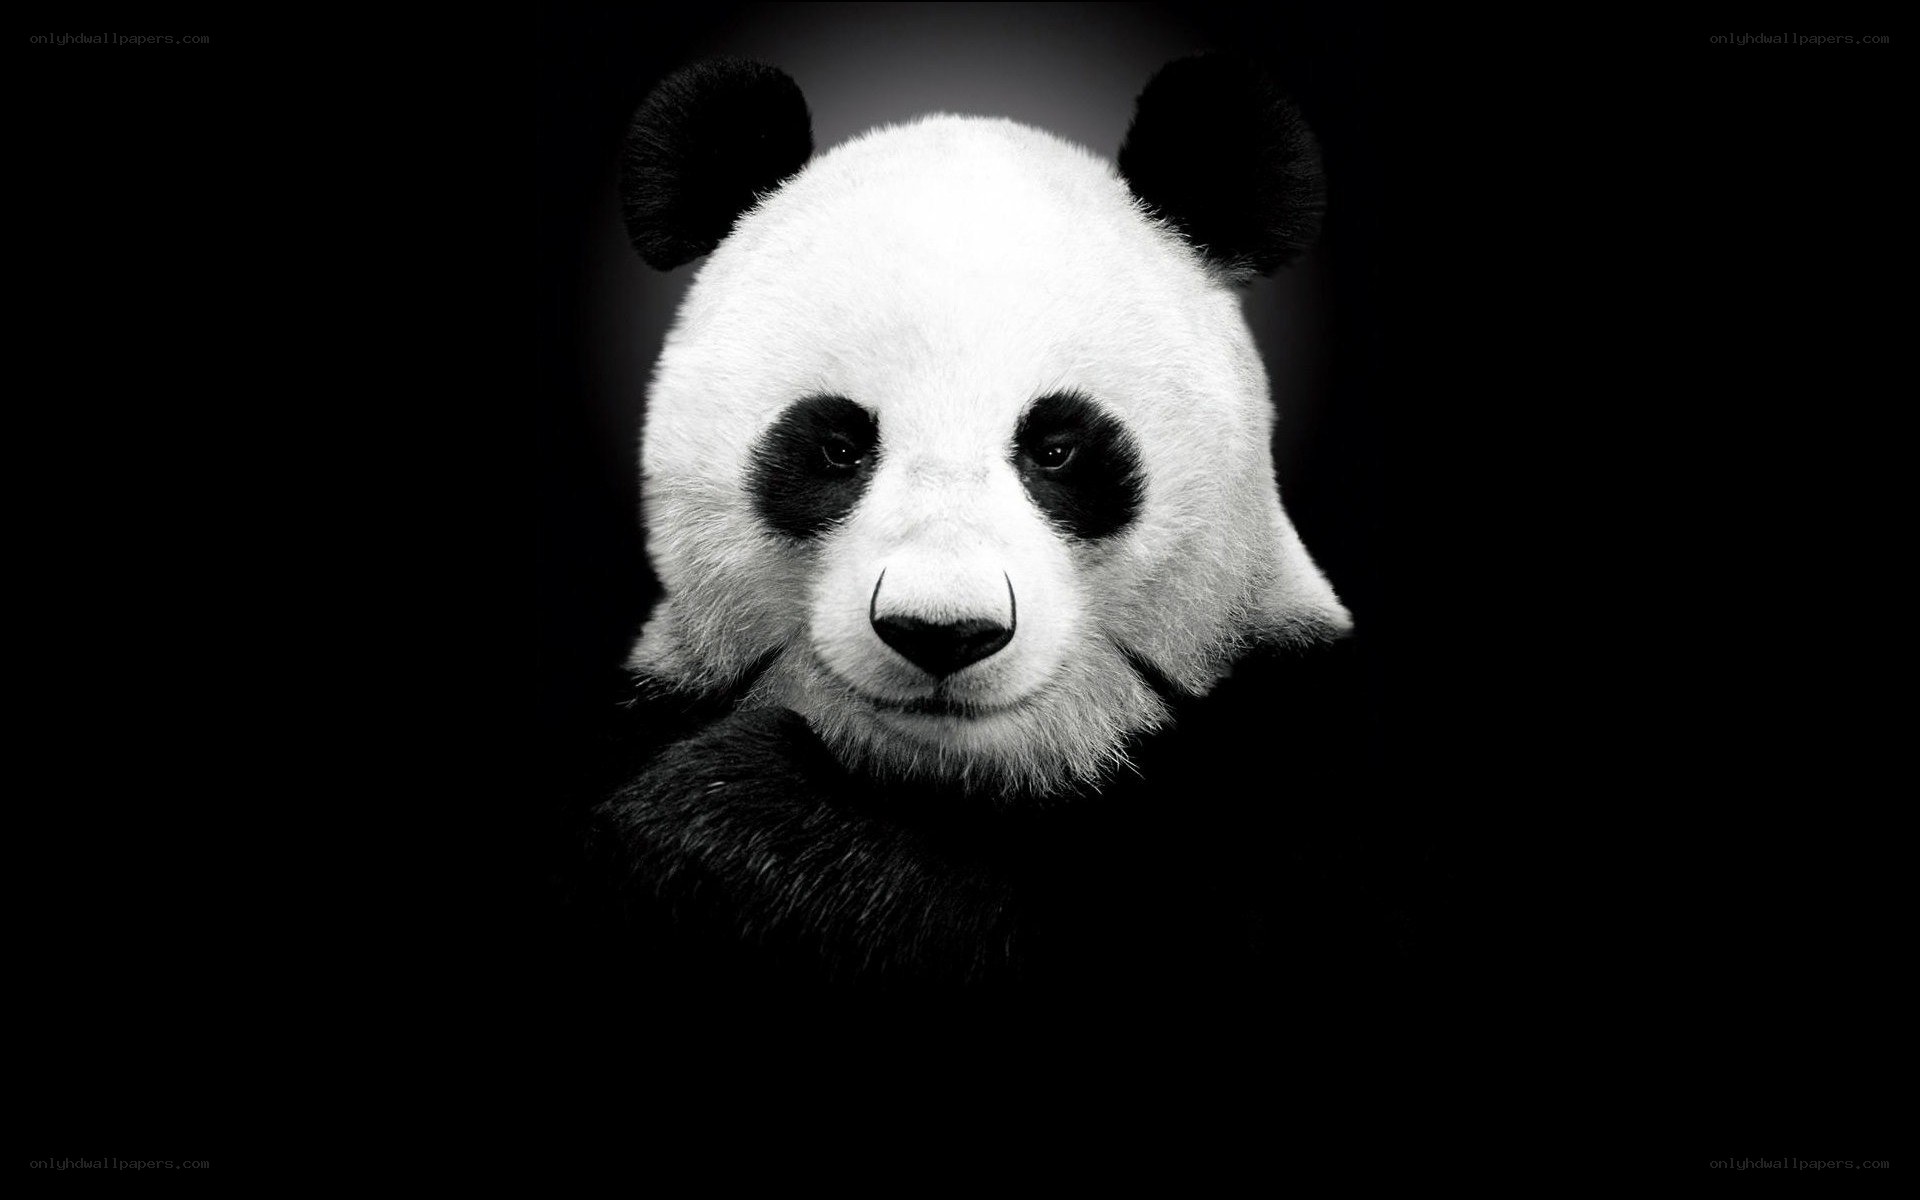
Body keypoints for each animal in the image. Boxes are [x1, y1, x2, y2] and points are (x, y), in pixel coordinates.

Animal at [579, 55, 1399, 994]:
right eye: (836, 447)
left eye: (1057, 449)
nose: (943, 632)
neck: (957, 777)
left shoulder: (1292, 762)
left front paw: (730, 820)